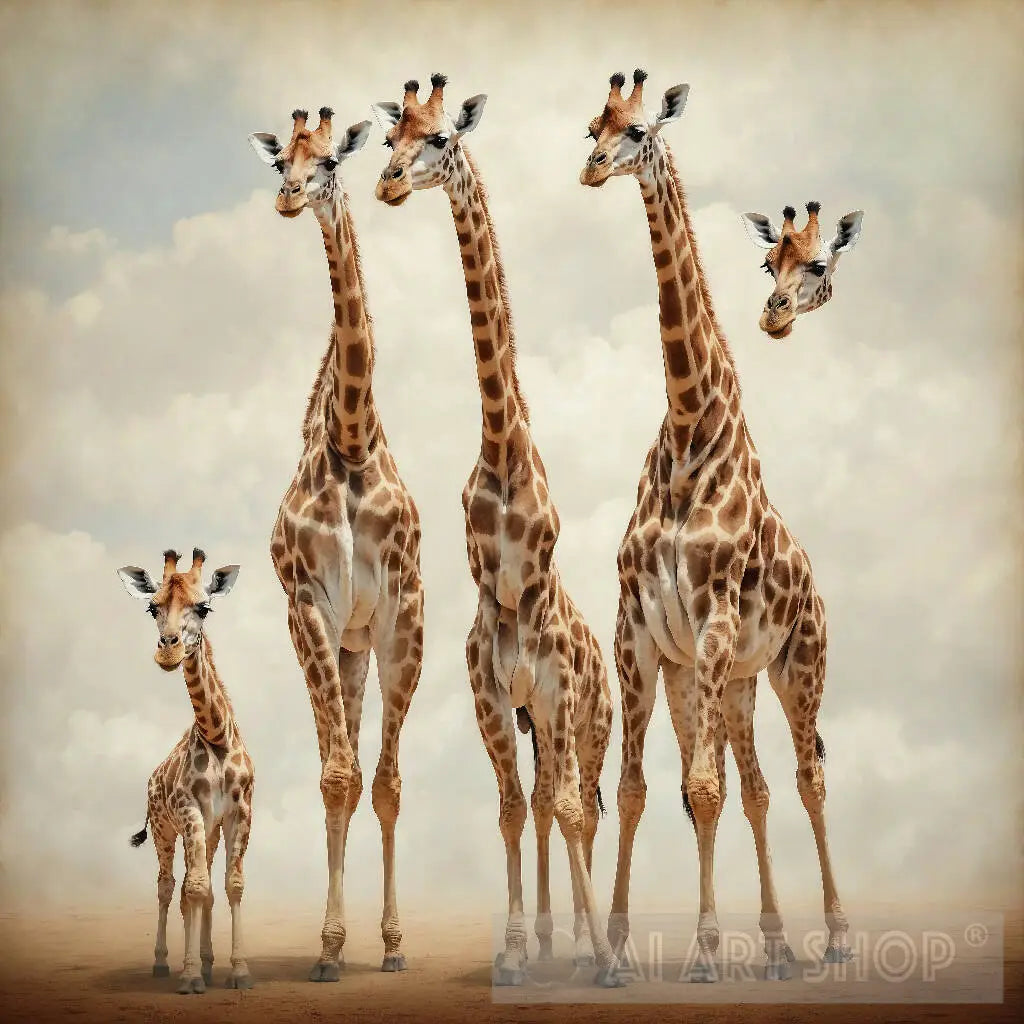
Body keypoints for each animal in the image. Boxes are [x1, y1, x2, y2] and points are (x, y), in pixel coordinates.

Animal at [117, 549, 251, 995]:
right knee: (167, 887)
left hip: (207, 832)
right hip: (164, 828)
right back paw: (163, 964)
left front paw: (237, 971)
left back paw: (207, 964)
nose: (168, 652)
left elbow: (228, 886)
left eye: (204, 607)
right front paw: (191, 976)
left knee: (198, 886)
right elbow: (193, 887)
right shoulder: (189, 809)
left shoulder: (238, 813)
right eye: (152, 607)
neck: (217, 735)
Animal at [372, 74, 619, 987]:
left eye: (440, 139)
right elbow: (513, 811)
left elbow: (563, 809)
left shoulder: (549, 677)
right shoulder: (492, 682)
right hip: (531, 715)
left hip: (585, 716)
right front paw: (515, 953)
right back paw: (556, 943)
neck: (505, 452)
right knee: (545, 805)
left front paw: (599, 957)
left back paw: (592, 942)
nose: (390, 183)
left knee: (583, 805)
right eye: (389, 140)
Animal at [580, 71, 852, 980]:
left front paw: (701, 952)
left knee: (806, 777)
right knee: (756, 786)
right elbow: (640, 788)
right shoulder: (640, 634)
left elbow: (701, 789)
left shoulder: (713, 621)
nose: (593, 168)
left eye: (641, 133)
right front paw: (616, 955)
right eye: (595, 126)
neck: (690, 424)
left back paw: (835, 938)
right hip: (729, 682)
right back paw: (774, 948)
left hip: (798, 664)